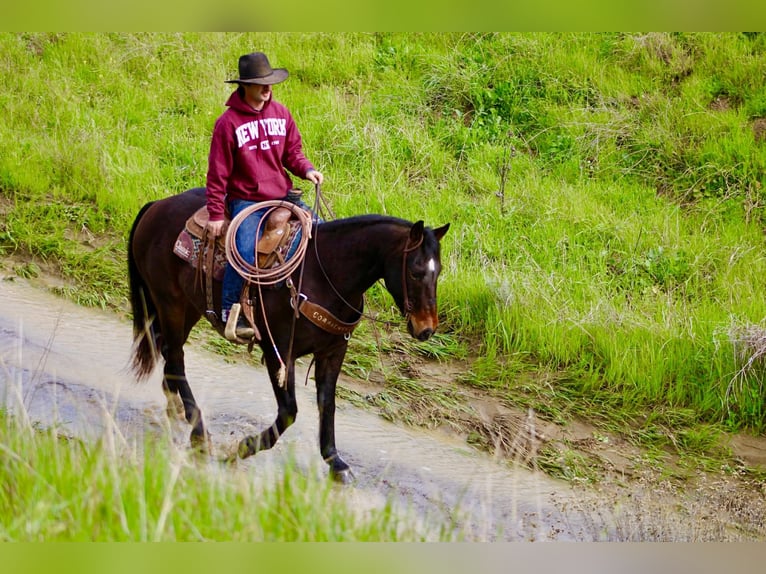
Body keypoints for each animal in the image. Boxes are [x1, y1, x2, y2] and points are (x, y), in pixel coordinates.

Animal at [127, 187, 449, 482]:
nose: (426, 329)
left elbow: (327, 405)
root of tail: (157, 206)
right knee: (176, 357)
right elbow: (289, 411)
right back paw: (198, 433)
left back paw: (176, 408)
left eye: (439, 271)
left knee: (170, 352)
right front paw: (242, 448)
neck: (326, 274)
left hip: (189, 306)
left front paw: (336, 462)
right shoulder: (279, 351)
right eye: (416, 271)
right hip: (169, 302)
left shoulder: (333, 351)